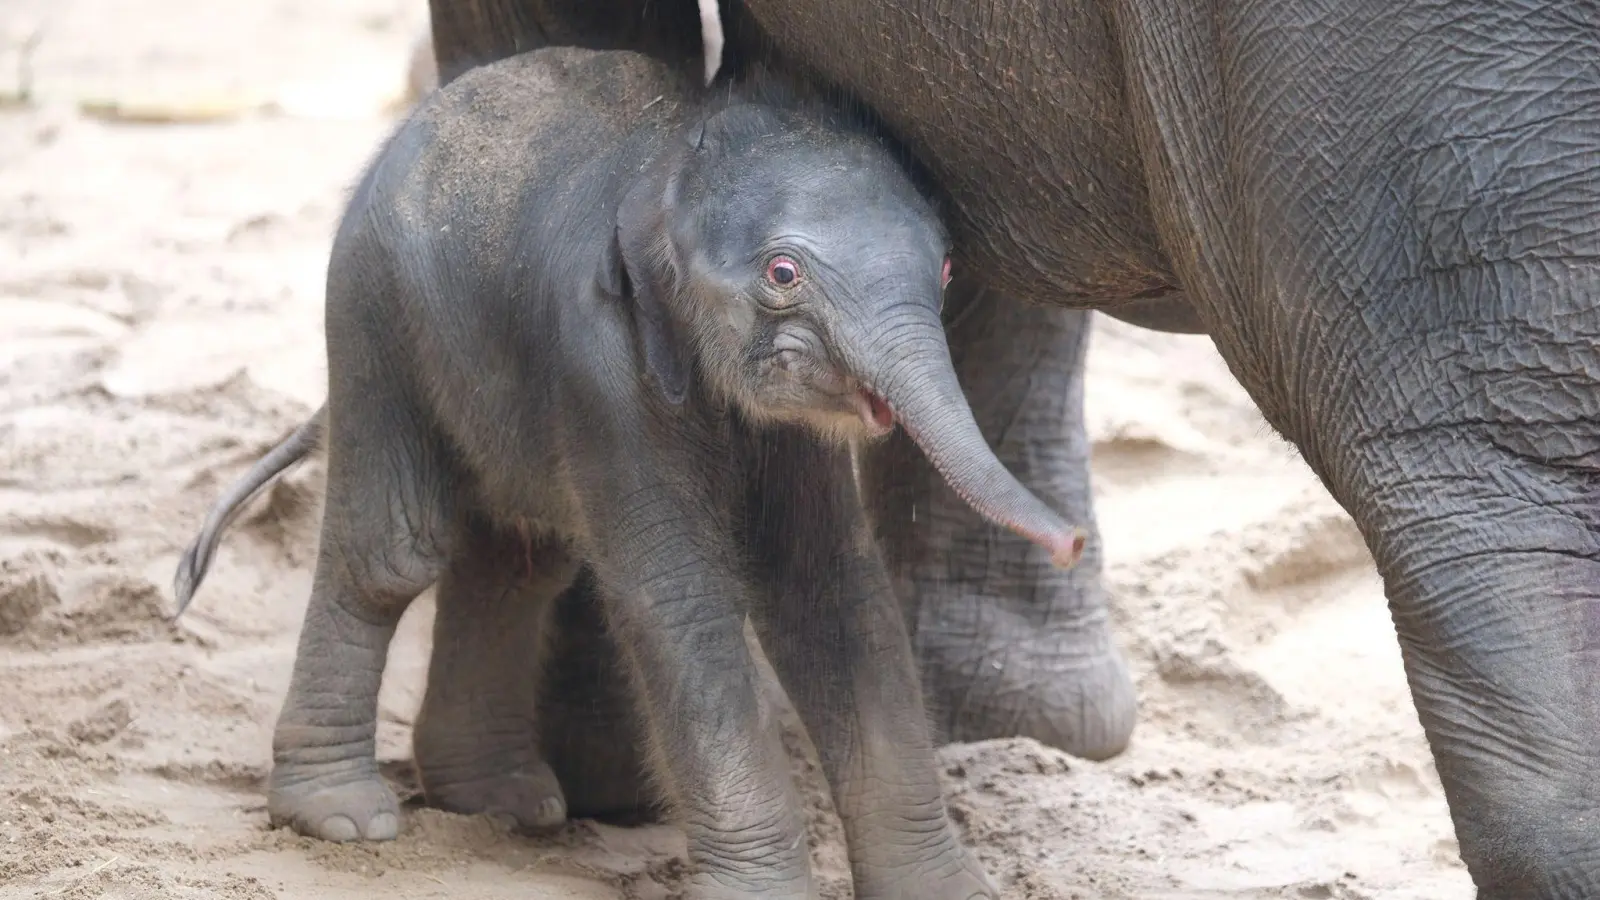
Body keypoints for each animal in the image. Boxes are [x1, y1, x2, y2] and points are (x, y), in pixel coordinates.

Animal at [181, 47, 1094, 896]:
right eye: (783, 274)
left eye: (945, 270)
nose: (1074, 543)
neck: (669, 168)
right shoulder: (602, 366)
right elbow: (680, 598)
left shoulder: (792, 437)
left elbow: (831, 592)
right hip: (372, 313)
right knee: (394, 554)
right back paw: (341, 817)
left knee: (515, 560)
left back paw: (501, 803)